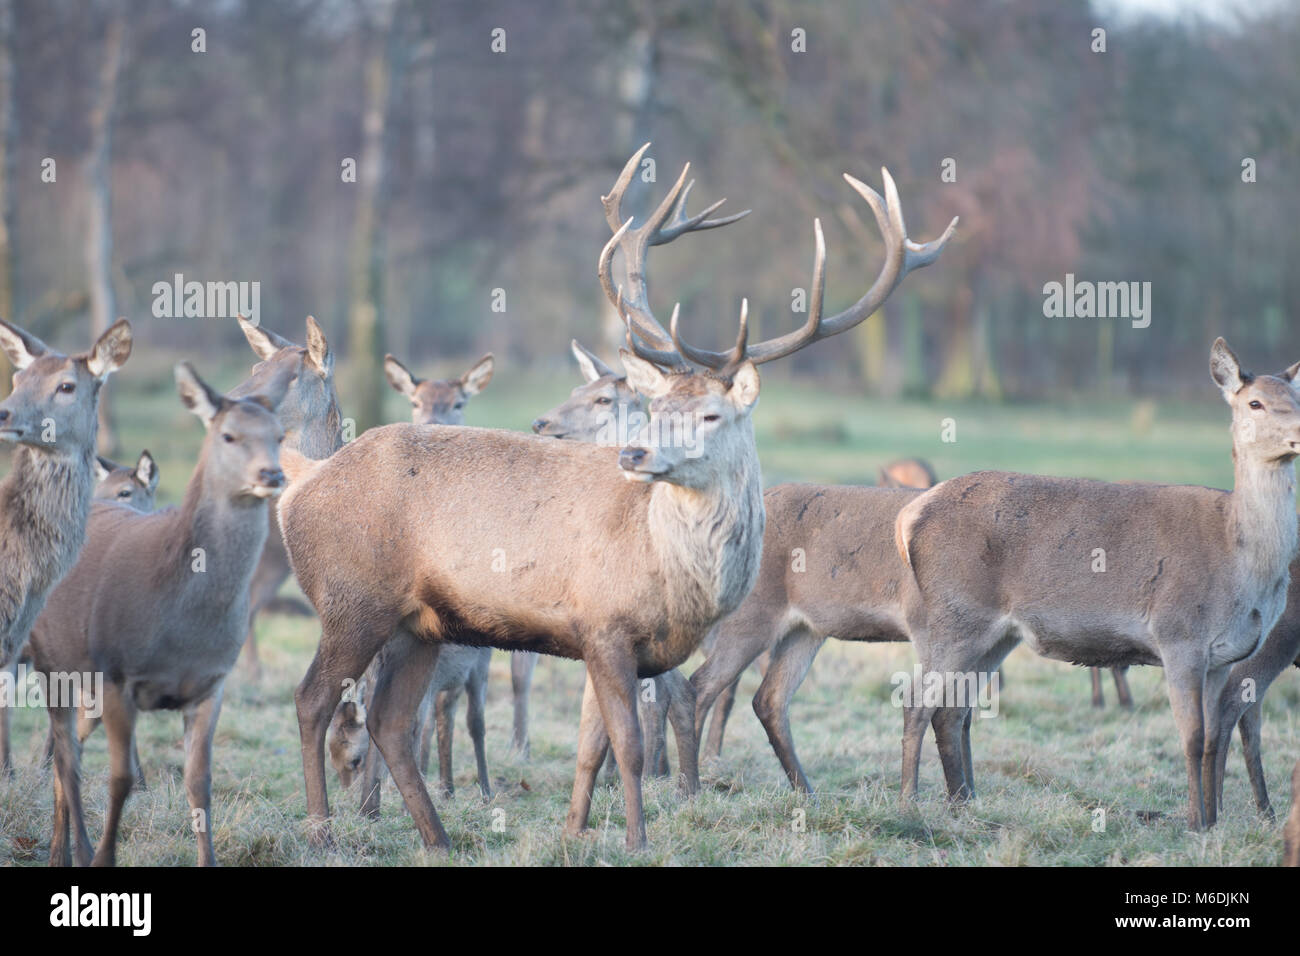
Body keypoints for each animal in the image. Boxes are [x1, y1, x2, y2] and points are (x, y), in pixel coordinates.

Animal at [30, 358, 296, 866]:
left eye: (280, 434)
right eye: (228, 435)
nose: (272, 474)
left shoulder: (211, 685)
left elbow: (199, 783)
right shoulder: (117, 676)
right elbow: (120, 780)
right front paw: (103, 858)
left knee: (67, 750)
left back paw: (60, 849)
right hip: (51, 661)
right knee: (66, 758)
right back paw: (73, 851)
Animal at [278, 143, 956, 850]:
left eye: (711, 414)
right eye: (656, 408)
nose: (635, 455)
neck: (669, 572)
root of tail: (300, 483)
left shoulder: (600, 638)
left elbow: (590, 747)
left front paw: (575, 833)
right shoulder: (604, 624)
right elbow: (627, 744)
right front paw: (637, 841)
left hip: (420, 622)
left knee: (388, 719)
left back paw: (438, 838)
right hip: (352, 598)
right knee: (312, 699)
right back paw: (324, 830)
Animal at [893, 338, 1300, 830]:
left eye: (1297, 396)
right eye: (1255, 402)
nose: (1298, 433)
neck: (1242, 566)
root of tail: (908, 517)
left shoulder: (1224, 655)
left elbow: (1210, 737)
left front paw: (1211, 821)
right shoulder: (1179, 634)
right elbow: (1191, 735)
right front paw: (1193, 823)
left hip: (994, 635)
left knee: (953, 710)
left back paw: (964, 803)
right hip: (954, 616)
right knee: (916, 702)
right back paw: (910, 803)